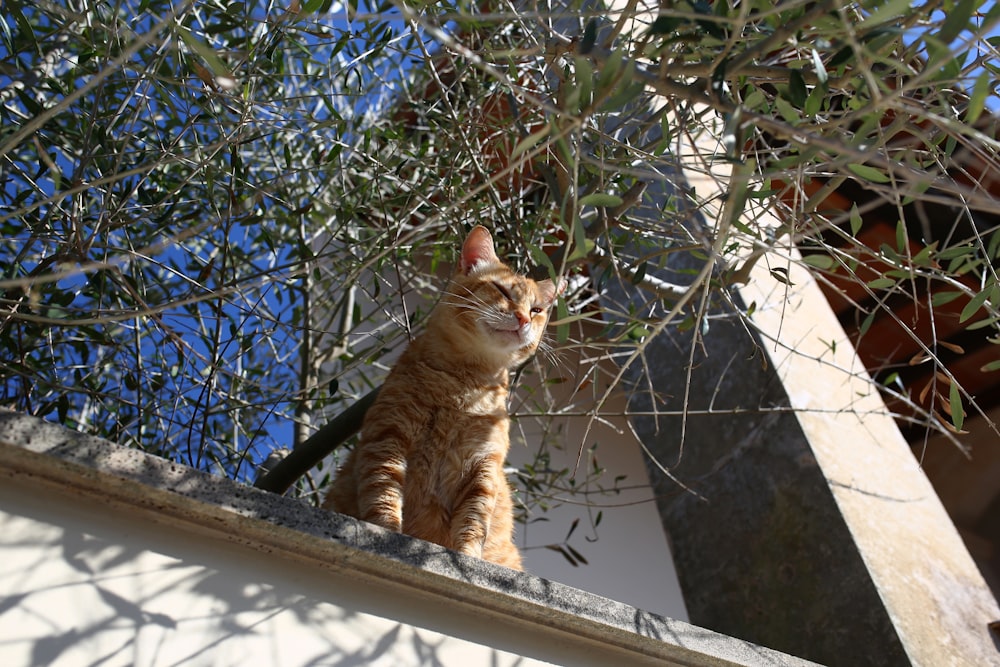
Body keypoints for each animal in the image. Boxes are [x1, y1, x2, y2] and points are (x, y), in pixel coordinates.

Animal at [326, 226, 568, 568]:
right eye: (503, 291)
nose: (523, 318)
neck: (463, 385)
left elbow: (473, 523)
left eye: (537, 310)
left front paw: (467, 558)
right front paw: (387, 534)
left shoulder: (484, 466)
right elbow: (383, 496)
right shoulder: (388, 437)